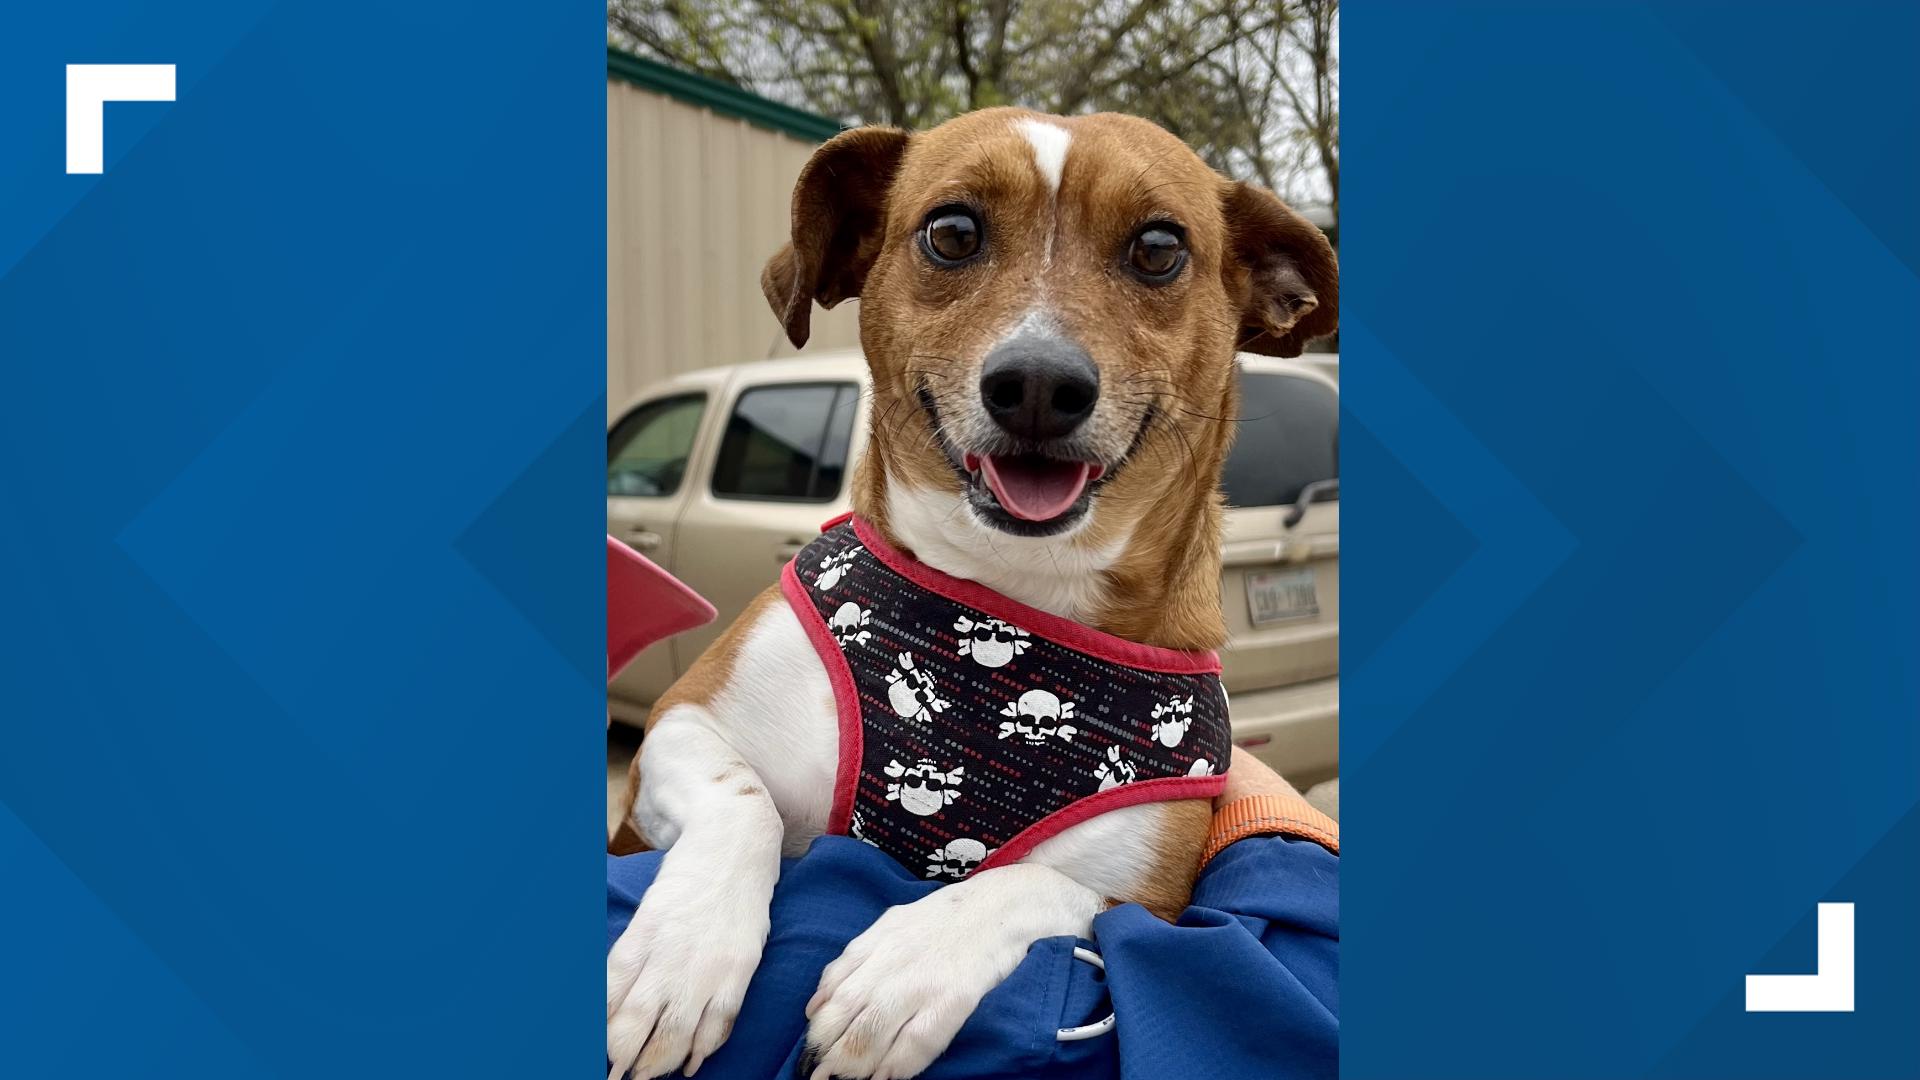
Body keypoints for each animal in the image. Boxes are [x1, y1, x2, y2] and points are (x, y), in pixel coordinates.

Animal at [606, 102, 1328, 1076]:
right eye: (952, 233)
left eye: (1157, 248)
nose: (1038, 384)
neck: (1012, 600)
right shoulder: (681, 727)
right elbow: (740, 800)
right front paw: (680, 958)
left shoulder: (1149, 895)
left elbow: (1032, 878)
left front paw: (906, 969)